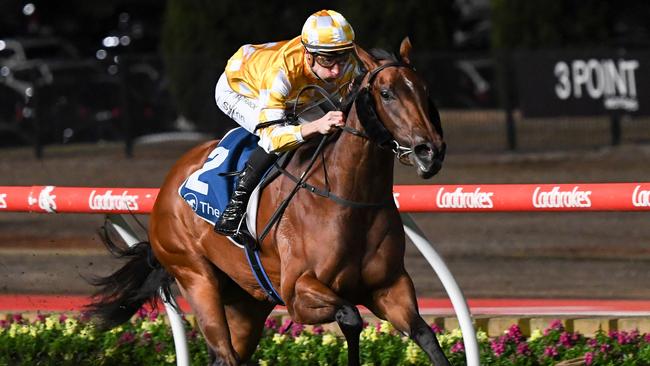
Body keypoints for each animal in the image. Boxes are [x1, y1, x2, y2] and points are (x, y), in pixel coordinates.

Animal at [88, 38, 448, 366]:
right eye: (386, 93)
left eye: (423, 89)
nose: (430, 151)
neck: (348, 197)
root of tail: (167, 188)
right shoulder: (297, 294)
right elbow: (351, 317)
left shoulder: (391, 288)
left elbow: (425, 335)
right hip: (196, 278)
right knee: (225, 352)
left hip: (247, 302)